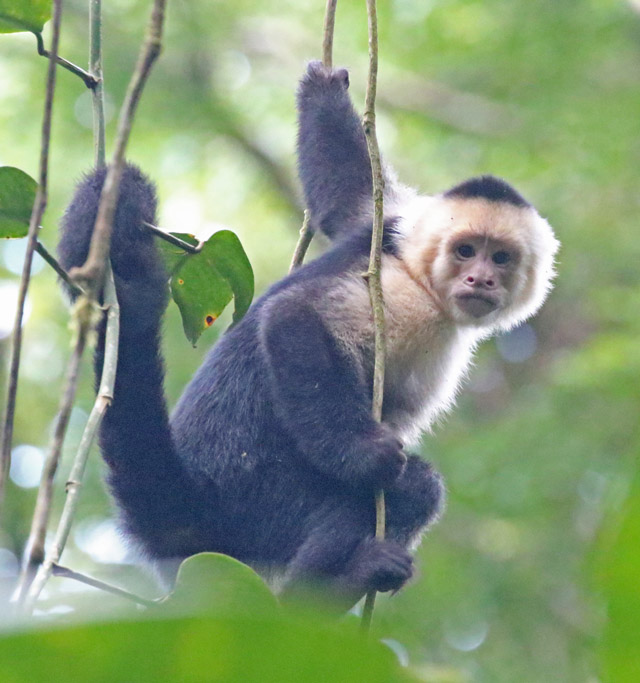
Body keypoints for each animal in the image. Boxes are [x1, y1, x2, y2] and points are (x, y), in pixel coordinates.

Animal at [56, 62, 558, 608]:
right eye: (466, 251)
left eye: (501, 258)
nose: (480, 280)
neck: (425, 281)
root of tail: (191, 502)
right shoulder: (404, 296)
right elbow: (291, 317)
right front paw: (364, 456)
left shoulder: (395, 220)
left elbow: (346, 198)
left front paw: (324, 88)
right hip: (260, 502)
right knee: (403, 490)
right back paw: (320, 593)